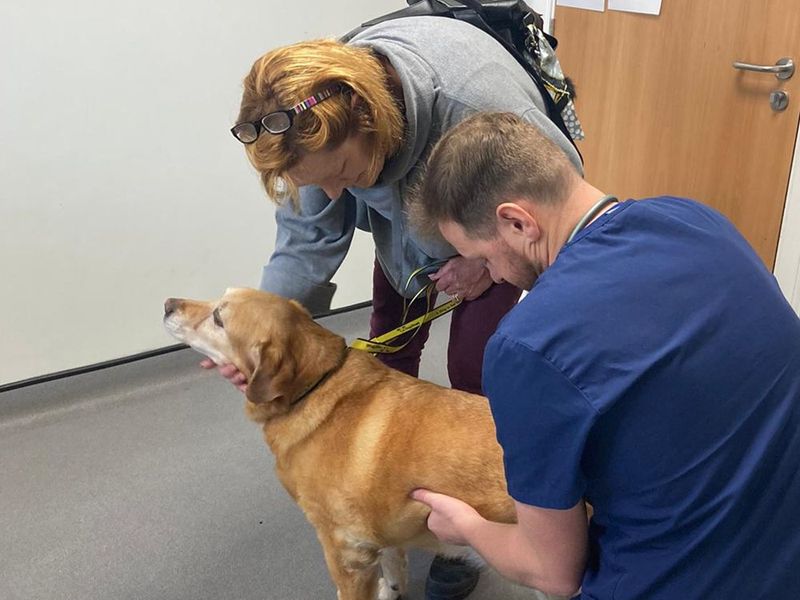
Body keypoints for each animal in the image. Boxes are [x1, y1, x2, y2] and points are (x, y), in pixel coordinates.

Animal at [163, 288, 516, 596]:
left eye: (218, 318)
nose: (167, 304)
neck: (316, 385)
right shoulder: (379, 536)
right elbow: (393, 570)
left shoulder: (346, 553)